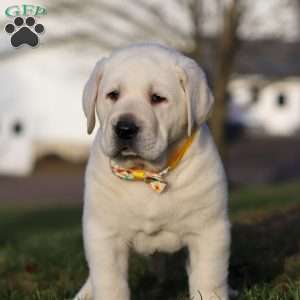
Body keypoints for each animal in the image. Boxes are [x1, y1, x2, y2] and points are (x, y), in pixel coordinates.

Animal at [74, 42, 230, 300]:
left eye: (157, 98)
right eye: (113, 95)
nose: (125, 128)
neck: (147, 174)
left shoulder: (209, 230)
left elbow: (209, 277)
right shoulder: (104, 234)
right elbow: (109, 281)